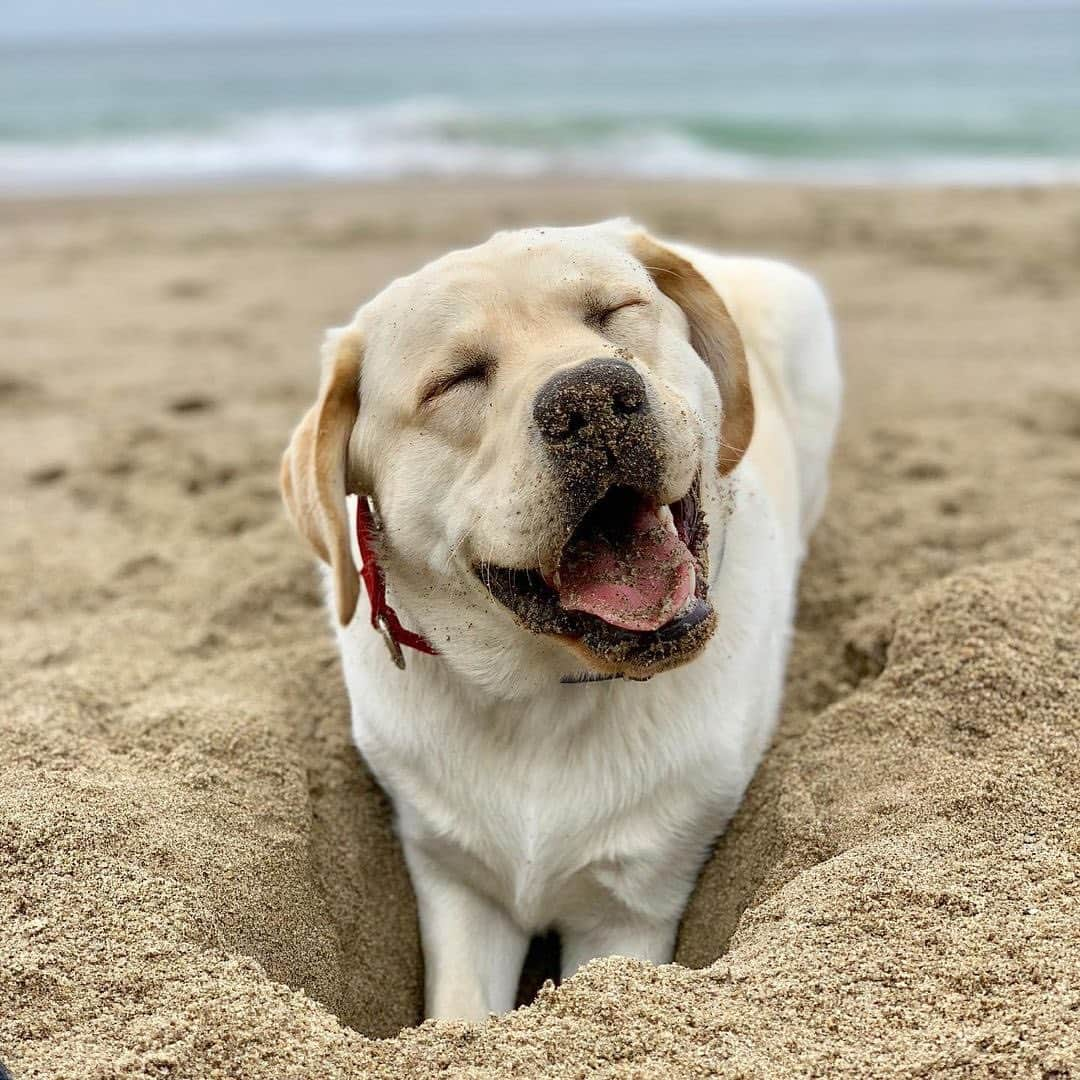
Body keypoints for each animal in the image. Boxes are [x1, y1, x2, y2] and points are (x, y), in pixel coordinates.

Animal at [282, 219, 838, 1019]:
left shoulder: (630, 906)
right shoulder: (455, 883)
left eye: (614, 312)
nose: (594, 398)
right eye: (456, 379)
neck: (544, 698)